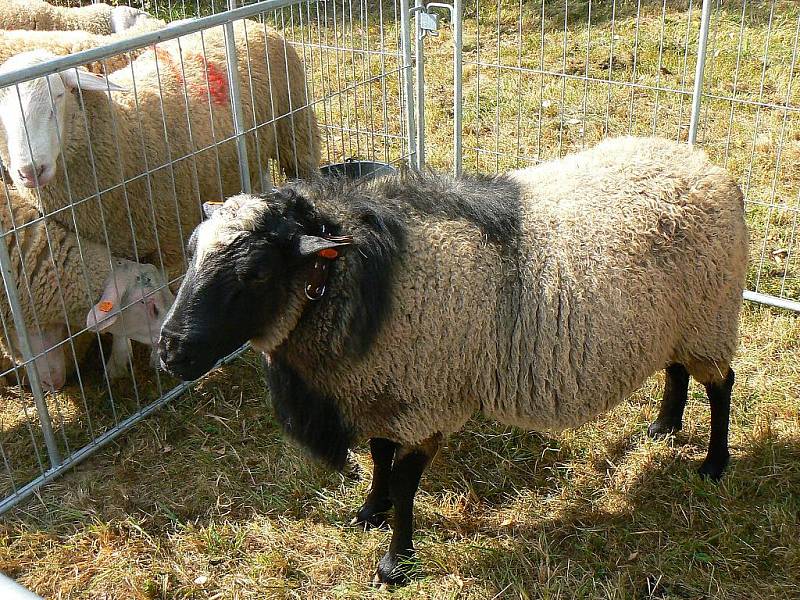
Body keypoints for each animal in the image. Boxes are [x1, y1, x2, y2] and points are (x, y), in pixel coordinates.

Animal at [158, 137, 752, 584]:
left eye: (255, 272)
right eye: (190, 251)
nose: (169, 350)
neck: (366, 282)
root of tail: (707, 165)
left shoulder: (428, 401)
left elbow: (404, 481)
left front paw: (396, 563)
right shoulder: (386, 388)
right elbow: (378, 456)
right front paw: (369, 512)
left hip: (711, 314)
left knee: (721, 384)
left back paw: (714, 463)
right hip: (674, 322)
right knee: (676, 368)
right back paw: (664, 426)